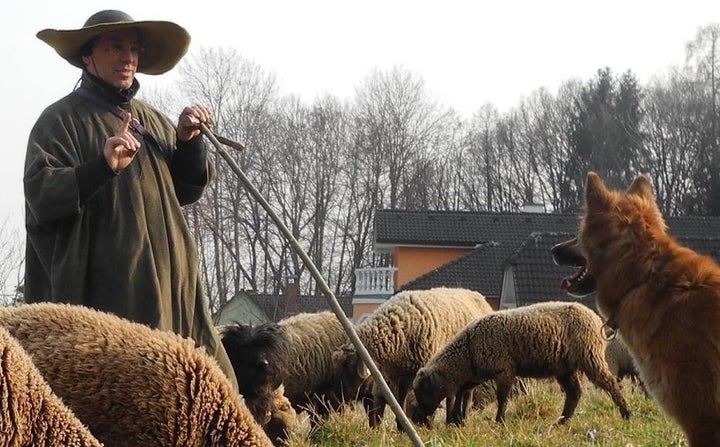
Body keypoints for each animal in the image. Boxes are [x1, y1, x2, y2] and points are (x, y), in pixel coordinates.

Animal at [334, 288, 496, 428]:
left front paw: (425, 424)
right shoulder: (398, 375)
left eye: (349, 367)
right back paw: (450, 420)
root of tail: (479, 297)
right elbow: (400, 401)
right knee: (452, 394)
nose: (340, 400)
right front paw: (401, 426)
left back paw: (460, 419)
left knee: (466, 394)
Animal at [410, 300, 632, 428]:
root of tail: (594, 317)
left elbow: (501, 398)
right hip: (565, 368)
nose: (419, 420)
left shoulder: (504, 370)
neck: (468, 350)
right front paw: (457, 420)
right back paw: (562, 421)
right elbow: (463, 395)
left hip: (590, 357)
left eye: (426, 390)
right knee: (574, 393)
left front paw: (499, 422)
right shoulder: (475, 376)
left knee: (610, 383)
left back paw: (626, 413)